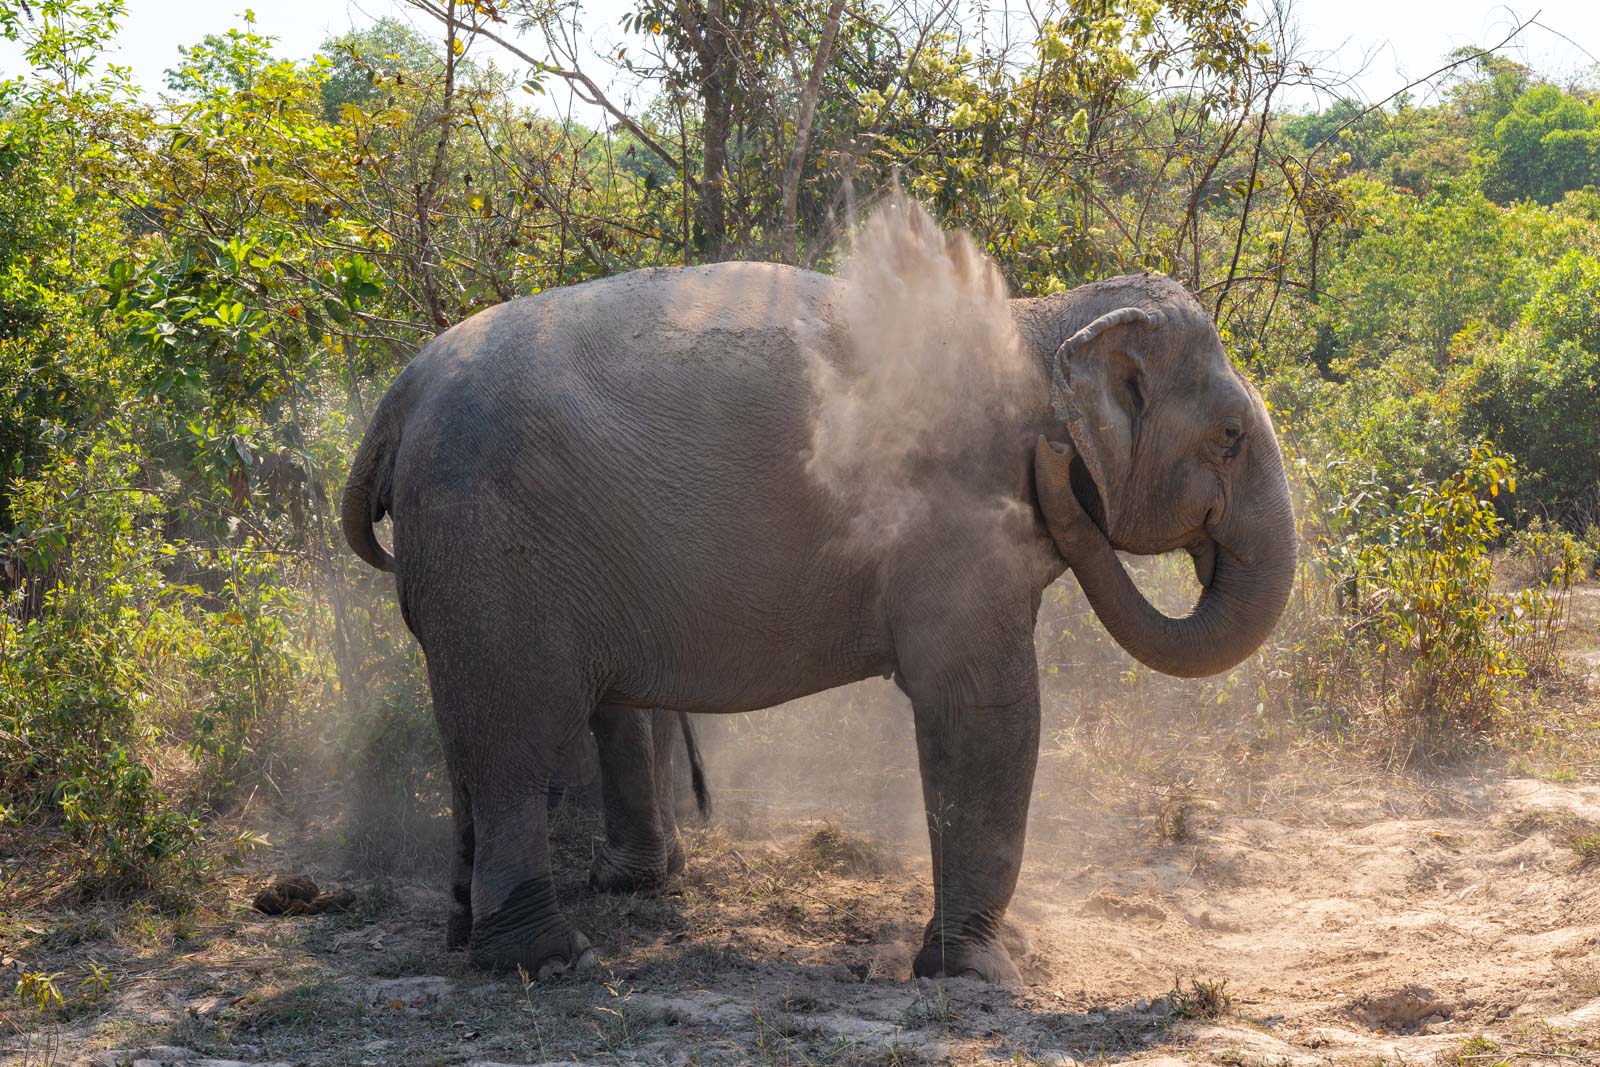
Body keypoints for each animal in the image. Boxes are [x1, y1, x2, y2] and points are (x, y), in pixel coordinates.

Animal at [340, 239, 1299, 985]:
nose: (1060, 468)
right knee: (513, 737)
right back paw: (550, 957)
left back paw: (492, 921)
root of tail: (398, 396)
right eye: (1230, 438)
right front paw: (978, 973)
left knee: (494, 731)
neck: (1045, 321)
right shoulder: (952, 514)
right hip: (491, 544)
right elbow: (983, 703)